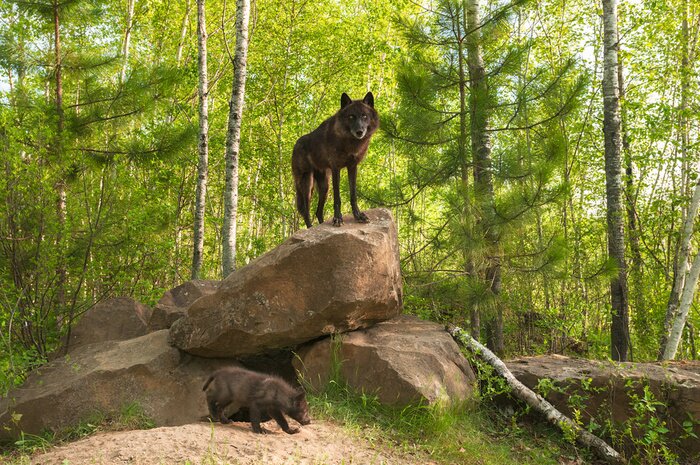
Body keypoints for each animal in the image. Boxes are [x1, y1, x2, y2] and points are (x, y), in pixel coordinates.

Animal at [292, 92, 379, 228]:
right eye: (351, 117)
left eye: (364, 116)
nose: (359, 132)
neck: (350, 142)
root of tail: (295, 145)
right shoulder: (335, 168)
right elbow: (337, 198)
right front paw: (338, 218)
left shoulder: (352, 167)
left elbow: (353, 195)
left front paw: (358, 216)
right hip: (307, 185)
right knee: (306, 211)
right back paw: (310, 228)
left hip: (324, 186)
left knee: (318, 212)